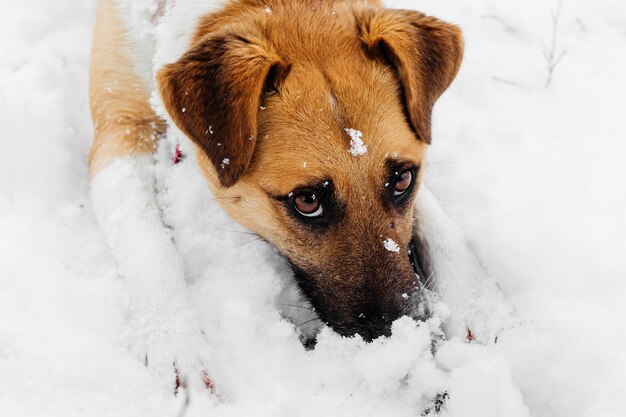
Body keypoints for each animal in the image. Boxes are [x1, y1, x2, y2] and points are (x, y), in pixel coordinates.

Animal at [86, 0, 508, 390]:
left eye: (403, 179)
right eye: (307, 201)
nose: (405, 337)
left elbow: (435, 216)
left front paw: (471, 298)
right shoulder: (121, 126)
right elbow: (144, 237)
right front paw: (175, 340)